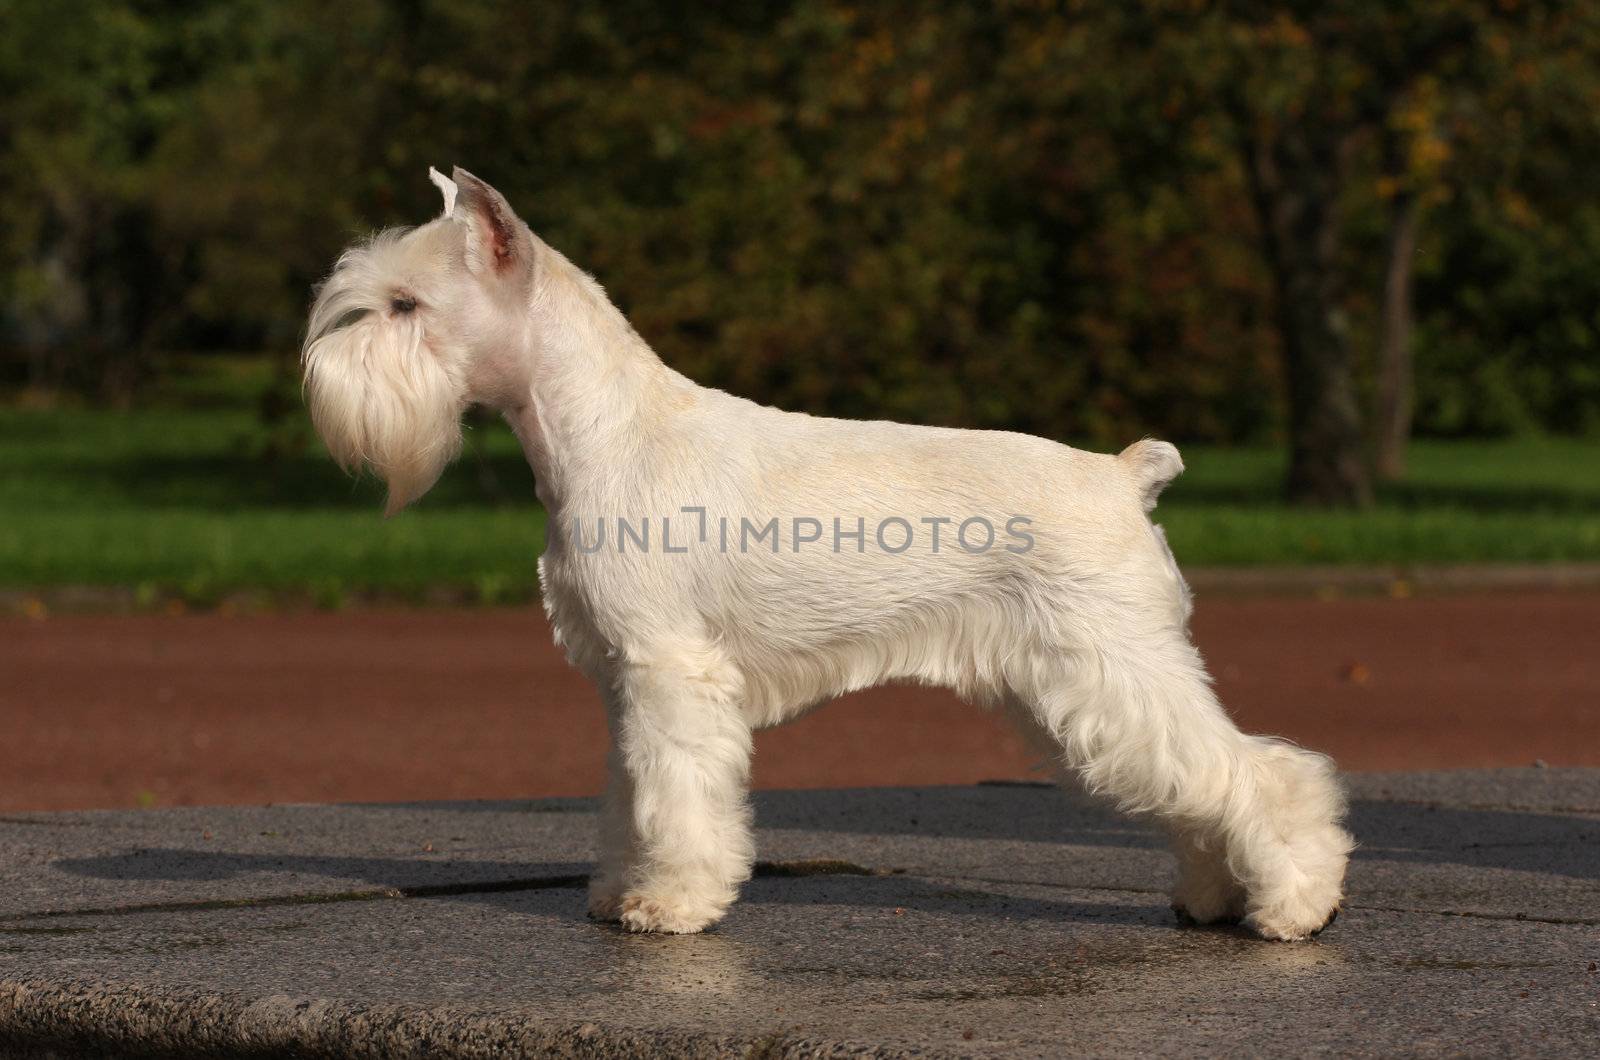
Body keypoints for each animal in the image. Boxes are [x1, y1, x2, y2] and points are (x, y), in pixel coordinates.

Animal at [300, 168, 1350, 947]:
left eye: (405, 303)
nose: (316, 377)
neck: (609, 428)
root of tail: (1125, 474)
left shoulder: (672, 673)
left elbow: (677, 800)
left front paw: (670, 905)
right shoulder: (626, 680)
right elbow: (631, 795)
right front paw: (617, 889)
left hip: (1115, 668)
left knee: (1261, 772)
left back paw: (1296, 906)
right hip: (1078, 690)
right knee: (1199, 785)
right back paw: (1215, 899)